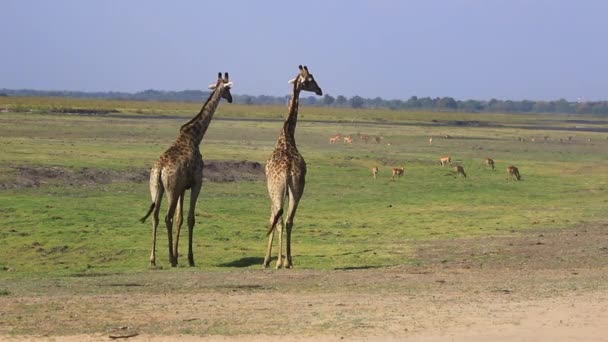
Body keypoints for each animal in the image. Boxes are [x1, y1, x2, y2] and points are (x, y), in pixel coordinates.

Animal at [141, 71, 234, 268]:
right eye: (228, 88)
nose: (230, 99)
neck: (195, 137)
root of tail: (159, 170)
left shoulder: (182, 188)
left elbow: (180, 218)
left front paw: (178, 255)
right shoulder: (197, 183)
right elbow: (190, 218)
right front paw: (189, 258)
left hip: (156, 188)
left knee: (156, 216)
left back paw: (153, 259)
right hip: (171, 190)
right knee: (166, 217)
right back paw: (169, 259)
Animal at [264, 63, 324, 268]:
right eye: (311, 80)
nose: (320, 90)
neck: (287, 135)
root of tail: (288, 170)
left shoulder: (269, 188)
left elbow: (271, 218)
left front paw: (267, 260)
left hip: (277, 190)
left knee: (280, 219)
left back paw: (278, 262)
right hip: (298, 189)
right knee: (289, 220)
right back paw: (288, 261)